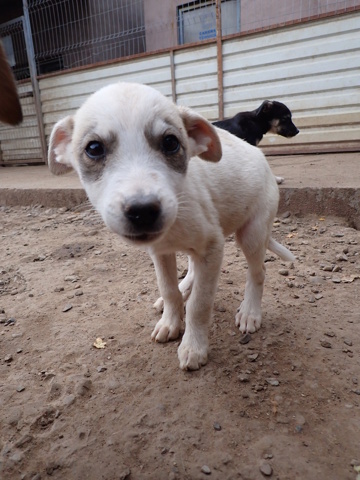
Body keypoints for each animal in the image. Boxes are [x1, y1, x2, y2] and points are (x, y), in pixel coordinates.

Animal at [48, 81, 296, 372]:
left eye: (170, 143)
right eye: (94, 148)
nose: (143, 211)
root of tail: (260, 157)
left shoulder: (213, 247)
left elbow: (199, 305)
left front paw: (194, 347)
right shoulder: (160, 251)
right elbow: (167, 289)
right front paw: (170, 320)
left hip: (253, 233)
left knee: (258, 272)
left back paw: (250, 312)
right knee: (192, 268)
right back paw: (185, 288)